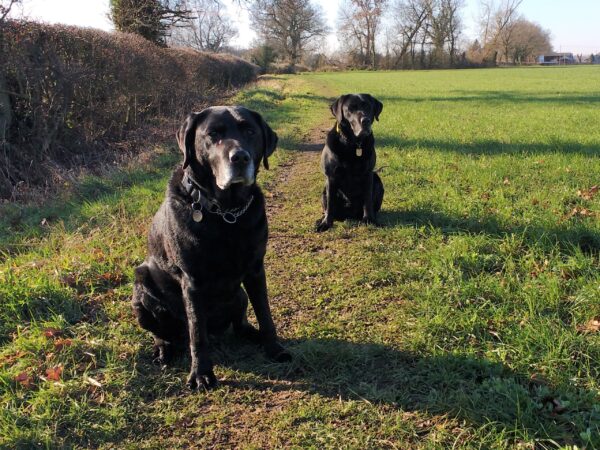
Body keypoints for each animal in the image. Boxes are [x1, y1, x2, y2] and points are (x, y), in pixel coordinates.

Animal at [132, 106, 290, 390]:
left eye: (250, 131)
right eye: (213, 134)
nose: (240, 157)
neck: (226, 213)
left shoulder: (255, 270)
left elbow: (265, 313)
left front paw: (274, 348)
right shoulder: (192, 281)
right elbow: (197, 331)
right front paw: (201, 373)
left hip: (239, 295)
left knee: (238, 323)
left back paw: (252, 335)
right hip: (141, 287)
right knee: (164, 334)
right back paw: (163, 350)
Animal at [314, 92, 384, 230]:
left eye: (368, 107)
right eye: (350, 108)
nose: (365, 121)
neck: (353, 145)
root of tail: (350, 215)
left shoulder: (368, 174)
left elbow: (367, 199)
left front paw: (369, 219)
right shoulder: (331, 177)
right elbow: (330, 203)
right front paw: (326, 223)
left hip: (377, 180)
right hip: (323, 191)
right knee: (328, 207)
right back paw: (321, 219)